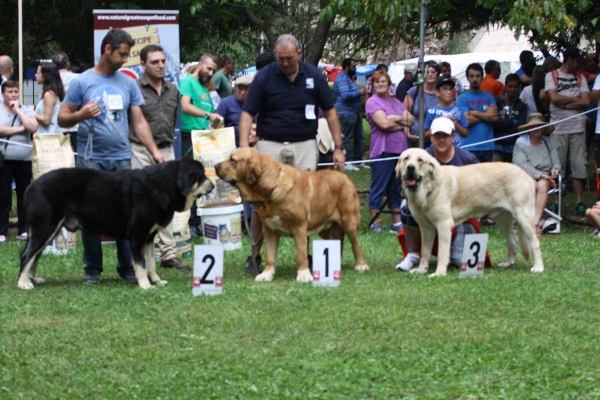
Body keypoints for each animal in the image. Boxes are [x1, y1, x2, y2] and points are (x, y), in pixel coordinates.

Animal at [17, 159, 214, 290]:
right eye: (201, 176)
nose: (212, 185)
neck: (163, 185)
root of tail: (31, 186)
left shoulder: (149, 237)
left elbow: (150, 263)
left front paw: (156, 281)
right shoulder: (137, 235)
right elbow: (141, 264)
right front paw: (145, 285)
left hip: (50, 229)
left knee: (34, 255)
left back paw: (32, 279)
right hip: (45, 227)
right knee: (27, 255)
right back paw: (23, 283)